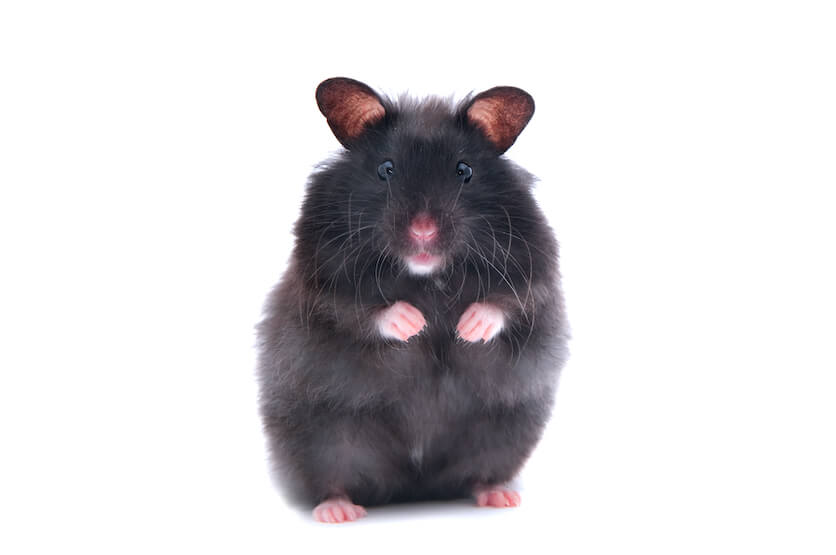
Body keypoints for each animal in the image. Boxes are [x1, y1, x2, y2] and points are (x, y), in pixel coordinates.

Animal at [257, 77, 569, 523]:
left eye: (464, 171)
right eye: (386, 169)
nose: (423, 231)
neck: (427, 275)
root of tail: (415, 485)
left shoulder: (534, 276)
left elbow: (507, 303)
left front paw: (466, 328)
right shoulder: (323, 283)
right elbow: (359, 310)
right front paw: (415, 324)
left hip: (504, 433)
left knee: (480, 472)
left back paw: (500, 496)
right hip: (321, 439)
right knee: (331, 477)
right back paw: (338, 511)